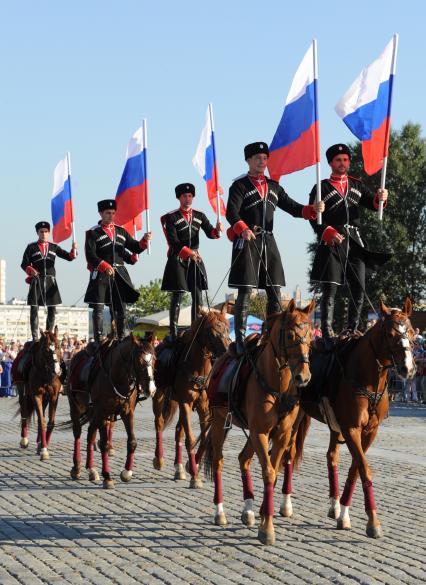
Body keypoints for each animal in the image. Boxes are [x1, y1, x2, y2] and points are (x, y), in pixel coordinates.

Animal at [16, 326, 62, 458]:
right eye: (46, 349)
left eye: (58, 345)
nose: (57, 370)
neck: (46, 373)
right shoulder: (36, 396)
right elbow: (42, 421)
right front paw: (44, 450)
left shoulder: (53, 397)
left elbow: (50, 422)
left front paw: (42, 445)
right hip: (22, 392)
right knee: (24, 411)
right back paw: (24, 439)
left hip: (45, 398)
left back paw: (39, 442)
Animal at [65, 334, 154, 488]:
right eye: (140, 361)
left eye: (154, 359)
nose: (151, 389)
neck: (118, 377)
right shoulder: (102, 411)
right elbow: (104, 444)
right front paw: (107, 476)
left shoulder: (127, 412)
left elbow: (132, 441)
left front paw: (127, 472)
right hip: (76, 407)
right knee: (77, 433)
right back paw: (77, 468)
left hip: (94, 413)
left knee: (90, 434)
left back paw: (92, 469)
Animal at [152, 306, 230, 488]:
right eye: (211, 332)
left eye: (227, 327)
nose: (226, 351)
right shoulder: (186, 403)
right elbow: (191, 438)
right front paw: (195, 475)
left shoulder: (203, 407)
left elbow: (202, 437)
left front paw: (191, 466)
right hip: (160, 397)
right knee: (159, 423)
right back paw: (159, 459)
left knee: (178, 431)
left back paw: (179, 468)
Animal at [203, 298, 316, 544]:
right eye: (291, 335)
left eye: (311, 336)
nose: (303, 377)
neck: (278, 384)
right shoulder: (261, 432)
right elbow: (269, 472)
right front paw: (267, 528)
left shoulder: (280, 434)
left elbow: (273, 471)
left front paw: (265, 516)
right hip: (220, 423)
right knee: (218, 461)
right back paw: (219, 512)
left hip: (254, 433)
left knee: (243, 458)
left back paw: (248, 510)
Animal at [282, 298, 414, 536]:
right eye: (390, 334)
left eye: (410, 331)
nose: (407, 368)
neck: (367, 379)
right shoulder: (351, 428)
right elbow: (364, 469)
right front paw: (373, 522)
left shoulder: (369, 432)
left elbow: (355, 469)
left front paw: (344, 513)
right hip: (294, 417)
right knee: (288, 453)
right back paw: (286, 504)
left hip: (334, 426)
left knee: (331, 456)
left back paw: (334, 505)